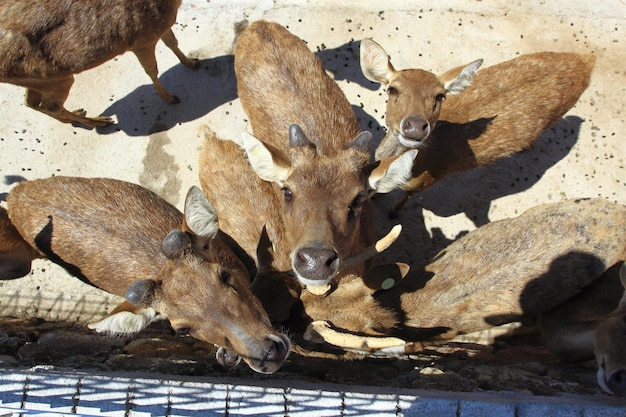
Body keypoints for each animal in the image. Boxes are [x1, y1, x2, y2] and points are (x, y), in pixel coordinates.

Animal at [0, 0, 197, 127]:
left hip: (39, 81)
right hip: (57, 79)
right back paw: (98, 121)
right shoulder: (142, 39)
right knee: (50, 105)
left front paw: (191, 62)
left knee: (30, 101)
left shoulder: (160, 28)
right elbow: (152, 70)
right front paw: (170, 97)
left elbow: (172, 42)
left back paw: (75, 117)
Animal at [358, 38, 592, 214]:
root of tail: (587, 60)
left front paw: (393, 213)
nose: (415, 126)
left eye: (440, 96)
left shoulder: (426, 182)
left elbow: (406, 198)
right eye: (392, 89)